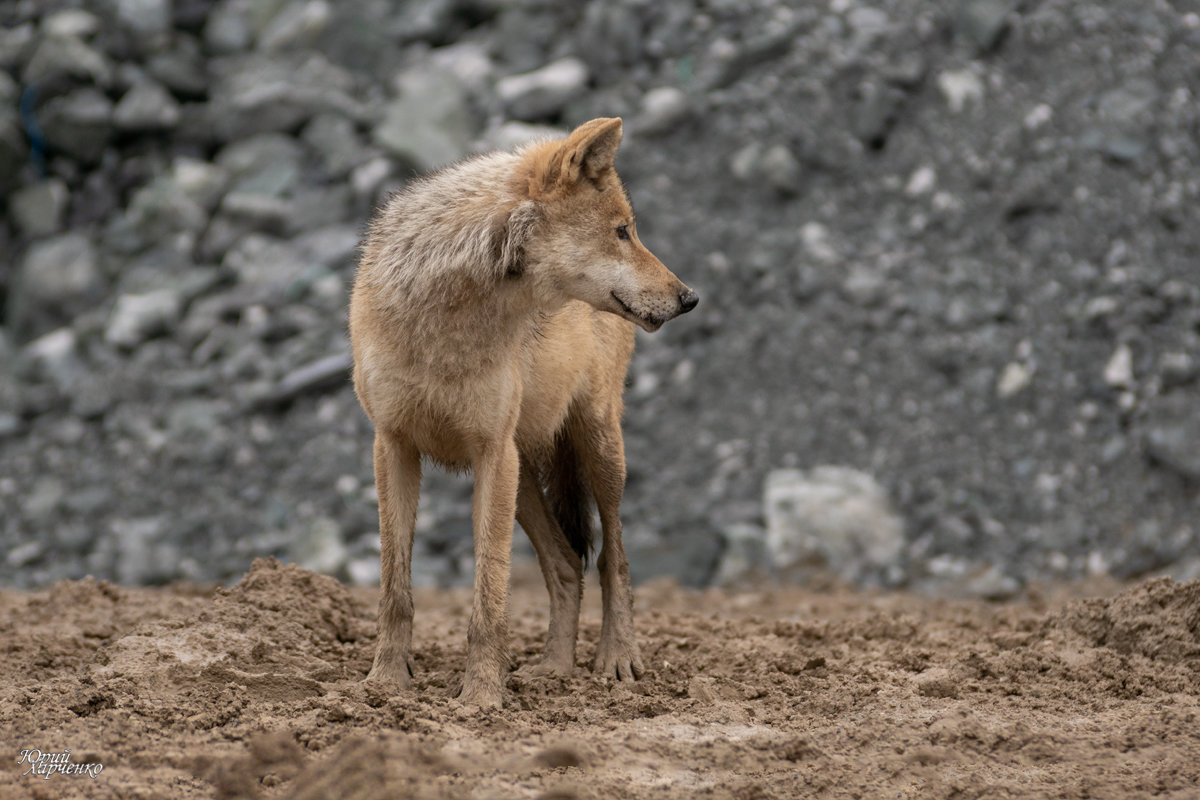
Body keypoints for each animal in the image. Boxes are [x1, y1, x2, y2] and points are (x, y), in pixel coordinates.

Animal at [348, 113, 700, 705]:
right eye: (622, 232)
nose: (689, 297)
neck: (446, 325)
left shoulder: (491, 453)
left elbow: (489, 596)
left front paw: (481, 698)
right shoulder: (392, 446)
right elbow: (396, 588)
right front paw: (385, 685)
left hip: (596, 449)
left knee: (614, 559)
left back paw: (616, 659)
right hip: (525, 478)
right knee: (567, 565)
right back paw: (554, 669)